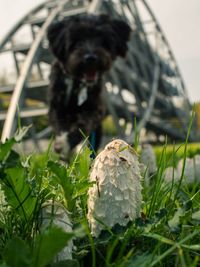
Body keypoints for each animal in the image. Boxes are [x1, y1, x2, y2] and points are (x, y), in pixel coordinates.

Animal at [47, 13, 131, 158]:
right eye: (76, 42)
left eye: (103, 41)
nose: (91, 58)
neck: (78, 83)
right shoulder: (56, 105)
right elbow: (59, 124)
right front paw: (62, 143)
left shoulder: (95, 109)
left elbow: (83, 124)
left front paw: (68, 142)